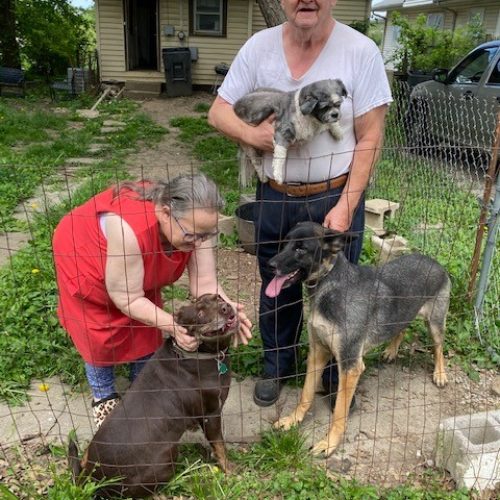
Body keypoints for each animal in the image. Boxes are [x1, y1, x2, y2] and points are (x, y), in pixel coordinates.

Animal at [268, 223, 452, 458]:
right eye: (285, 243)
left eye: (301, 249)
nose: (270, 265)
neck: (328, 284)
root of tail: (434, 261)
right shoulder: (318, 352)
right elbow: (306, 395)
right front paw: (293, 420)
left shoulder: (350, 366)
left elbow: (339, 411)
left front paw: (329, 443)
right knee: (400, 329)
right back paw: (391, 351)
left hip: (435, 322)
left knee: (439, 346)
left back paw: (440, 374)